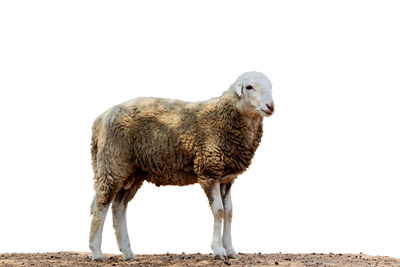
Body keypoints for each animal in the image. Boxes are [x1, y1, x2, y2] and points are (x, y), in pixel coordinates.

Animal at [88, 71, 274, 262]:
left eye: (270, 87)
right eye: (249, 87)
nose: (271, 106)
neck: (222, 119)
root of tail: (100, 120)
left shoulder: (226, 178)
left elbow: (229, 212)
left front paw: (230, 250)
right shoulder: (209, 172)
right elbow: (219, 211)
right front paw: (218, 250)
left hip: (132, 172)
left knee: (118, 207)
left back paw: (127, 252)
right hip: (112, 164)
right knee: (100, 205)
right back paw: (97, 252)